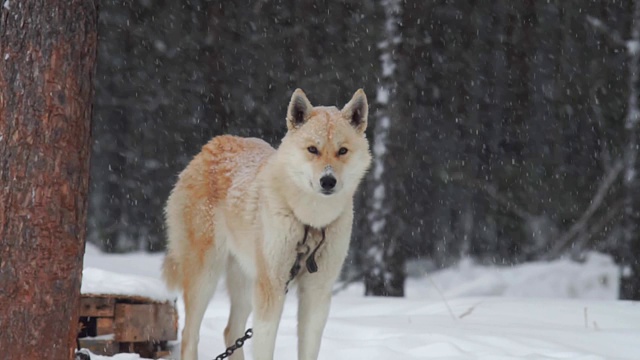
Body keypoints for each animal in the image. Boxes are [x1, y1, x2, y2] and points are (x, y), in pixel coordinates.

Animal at [162, 88, 372, 360]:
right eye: (312, 149)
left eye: (342, 151)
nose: (328, 181)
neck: (309, 222)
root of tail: (212, 145)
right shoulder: (272, 289)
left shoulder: (317, 293)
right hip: (206, 276)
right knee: (190, 335)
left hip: (245, 283)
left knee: (231, 331)